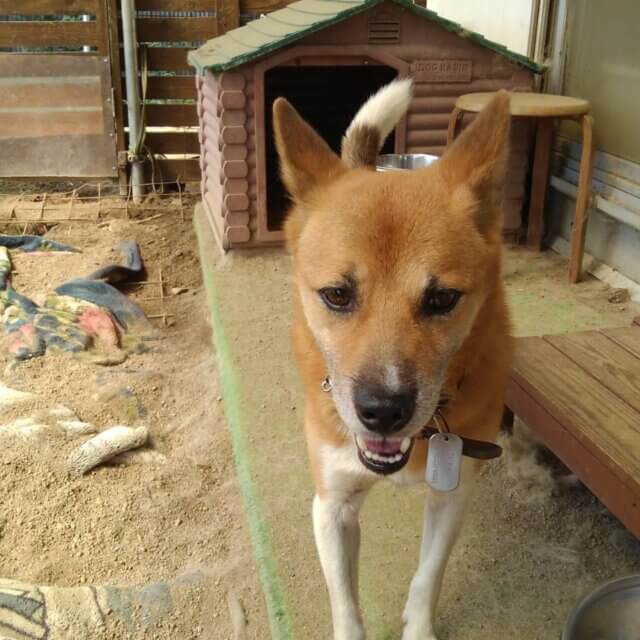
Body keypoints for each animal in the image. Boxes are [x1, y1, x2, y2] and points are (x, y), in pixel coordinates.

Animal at [273, 79, 513, 640]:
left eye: (442, 298)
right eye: (337, 294)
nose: (382, 411)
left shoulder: (451, 498)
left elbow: (428, 577)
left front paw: (419, 627)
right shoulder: (332, 506)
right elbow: (345, 604)